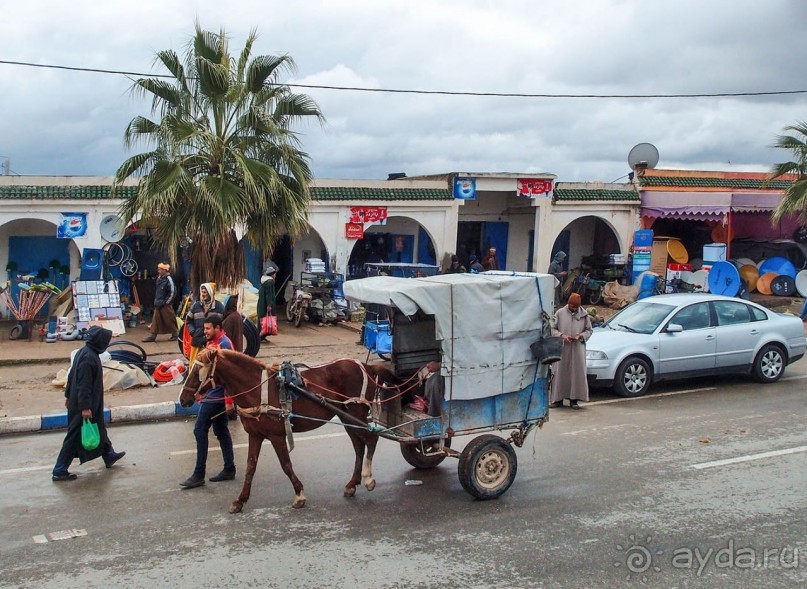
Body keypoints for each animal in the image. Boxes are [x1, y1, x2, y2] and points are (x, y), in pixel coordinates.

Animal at [180, 346, 400, 512]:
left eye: (198, 372)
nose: (183, 399)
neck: (258, 390)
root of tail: (367, 366)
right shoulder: (255, 435)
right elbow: (250, 467)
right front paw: (240, 500)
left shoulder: (276, 435)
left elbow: (285, 464)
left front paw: (299, 494)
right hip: (347, 417)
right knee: (359, 446)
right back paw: (352, 484)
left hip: (357, 413)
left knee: (371, 439)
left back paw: (368, 478)